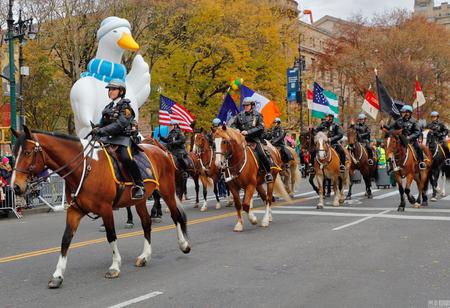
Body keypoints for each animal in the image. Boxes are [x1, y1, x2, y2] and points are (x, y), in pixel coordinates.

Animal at [10, 125, 190, 288]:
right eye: (14, 153)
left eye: (27, 153)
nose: (15, 187)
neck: (84, 168)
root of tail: (162, 151)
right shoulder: (75, 211)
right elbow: (65, 239)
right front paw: (57, 275)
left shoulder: (105, 209)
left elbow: (111, 236)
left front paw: (115, 266)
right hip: (140, 201)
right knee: (146, 223)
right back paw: (145, 256)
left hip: (167, 191)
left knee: (175, 216)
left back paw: (184, 245)